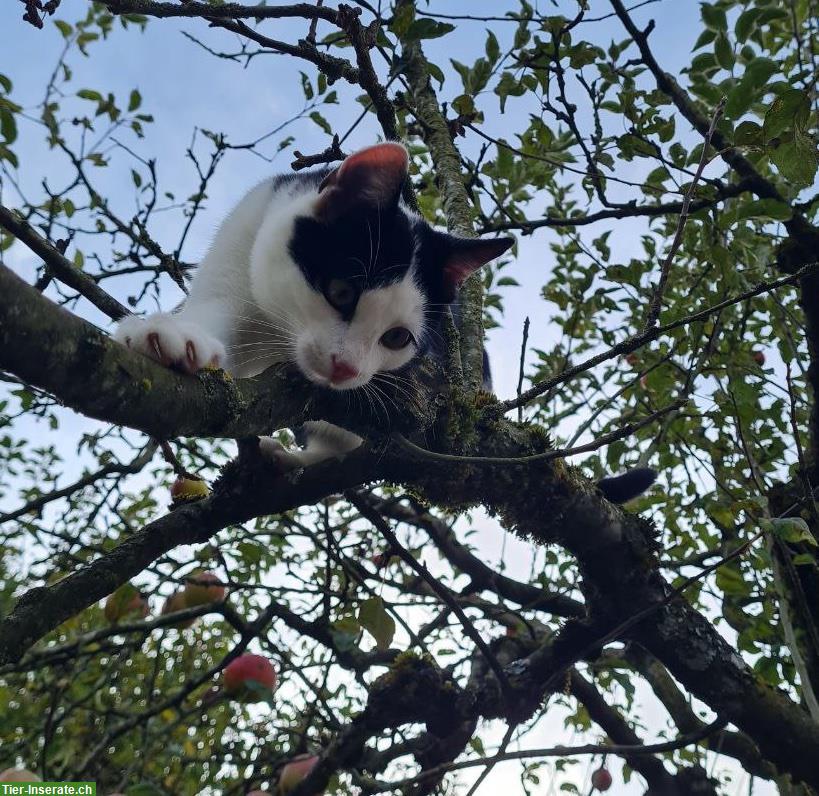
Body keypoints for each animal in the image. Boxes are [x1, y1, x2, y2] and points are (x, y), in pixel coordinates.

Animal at [115, 142, 656, 500]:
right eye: (340, 293)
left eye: (396, 338)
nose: (346, 368)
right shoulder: (245, 235)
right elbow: (215, 312)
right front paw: (174, 337)